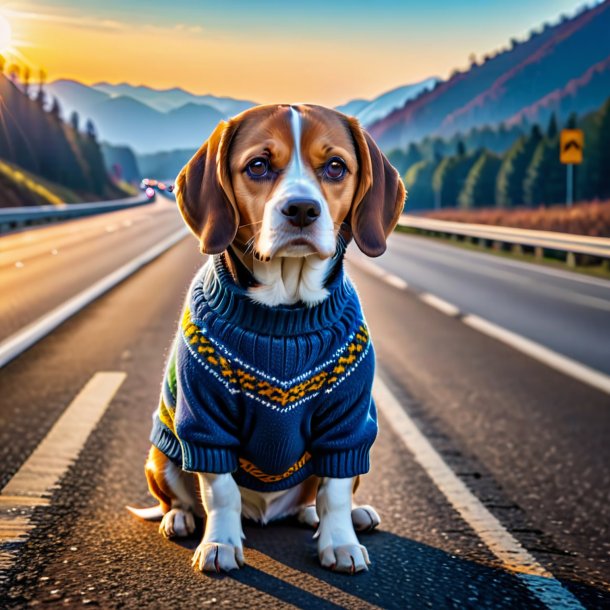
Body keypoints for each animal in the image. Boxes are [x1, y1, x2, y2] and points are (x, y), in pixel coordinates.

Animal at [132, 102, 406, 572]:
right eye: (258, 166)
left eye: (336, 167)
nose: (301, 209)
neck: (284, 313)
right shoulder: (205, 424)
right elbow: (220, 490)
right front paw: (220, 544)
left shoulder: (348, 426)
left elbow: (334, 491)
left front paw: (341, 542)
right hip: (162, 452)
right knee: (179, 497)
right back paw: (181, 519)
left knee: (318, 497)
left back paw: (341, 515)